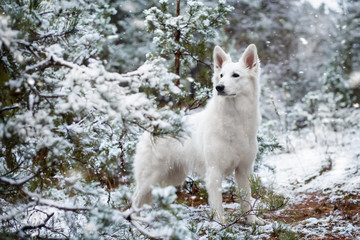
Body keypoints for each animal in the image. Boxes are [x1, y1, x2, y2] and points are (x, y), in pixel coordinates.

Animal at [132, 43, 264, 225]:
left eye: (235, 75)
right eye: (221, 75)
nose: (219, 87)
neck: (235, 120)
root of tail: (151, 129)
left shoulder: (244, 170)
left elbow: (246, 198)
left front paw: (251, 220)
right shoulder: (214, 171)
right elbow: (217, 202)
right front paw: (220, 223)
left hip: (171, 178)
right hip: (150, 177)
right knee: (135, 198)